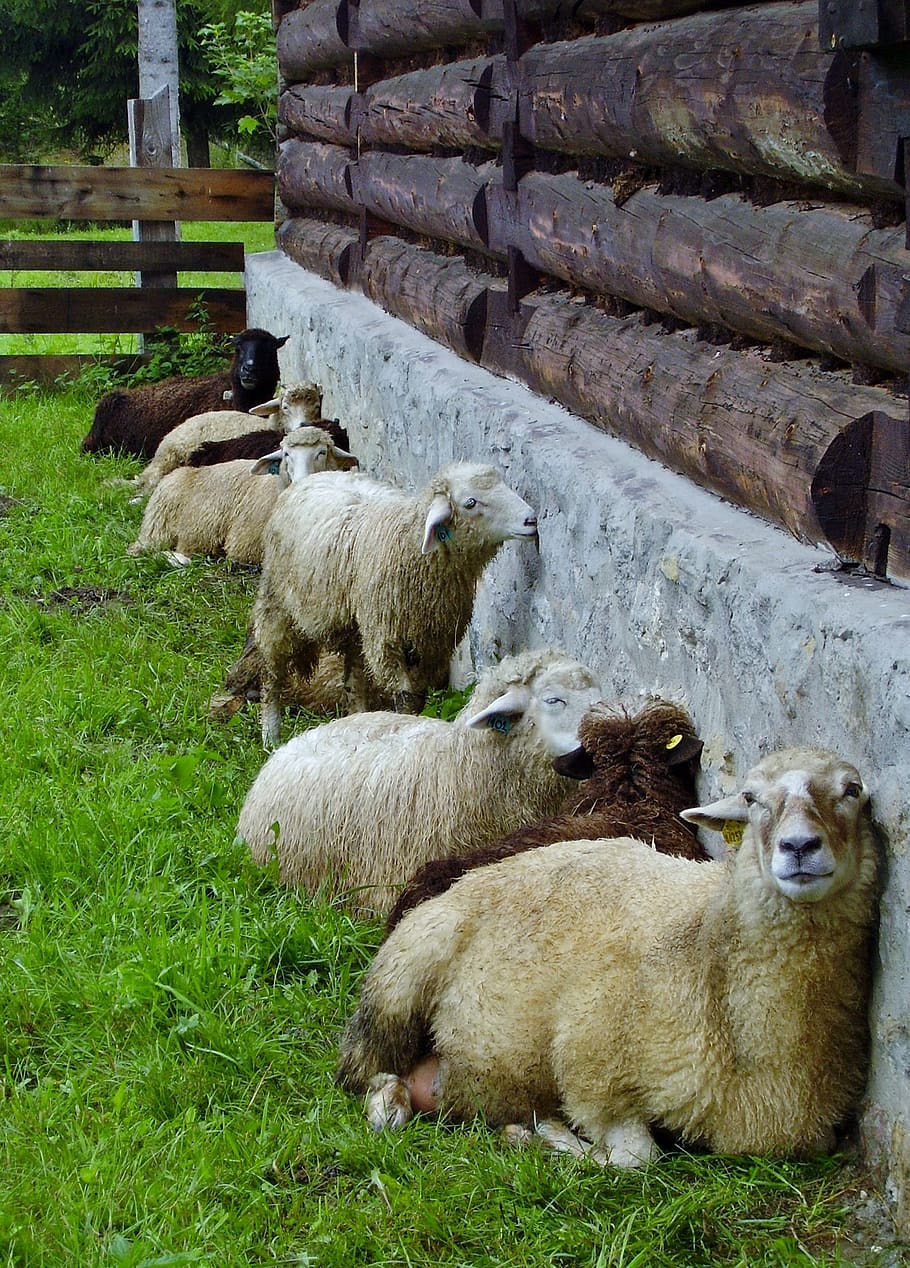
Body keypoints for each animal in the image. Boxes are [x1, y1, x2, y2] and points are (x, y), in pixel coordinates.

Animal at [251, 461, 540, 747]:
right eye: (471, 502)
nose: (531, 520)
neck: (411, 545)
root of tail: (313, 477)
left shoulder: (432, 645)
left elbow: (419, 695)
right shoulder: (386, 640)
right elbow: (406, 698)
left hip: (355, 626)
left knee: (354, 681)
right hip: (277, 600)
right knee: (272, 668)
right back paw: (270, 735)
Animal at [337, 746, 879, 1165]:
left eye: (852, 790)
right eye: (751, 798)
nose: (799, 846)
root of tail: (475, 874)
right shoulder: (592, 1066)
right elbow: (636, 1157)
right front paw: (545, 1137)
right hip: (400, 981)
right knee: (362, 1071)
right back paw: (390, 1104)